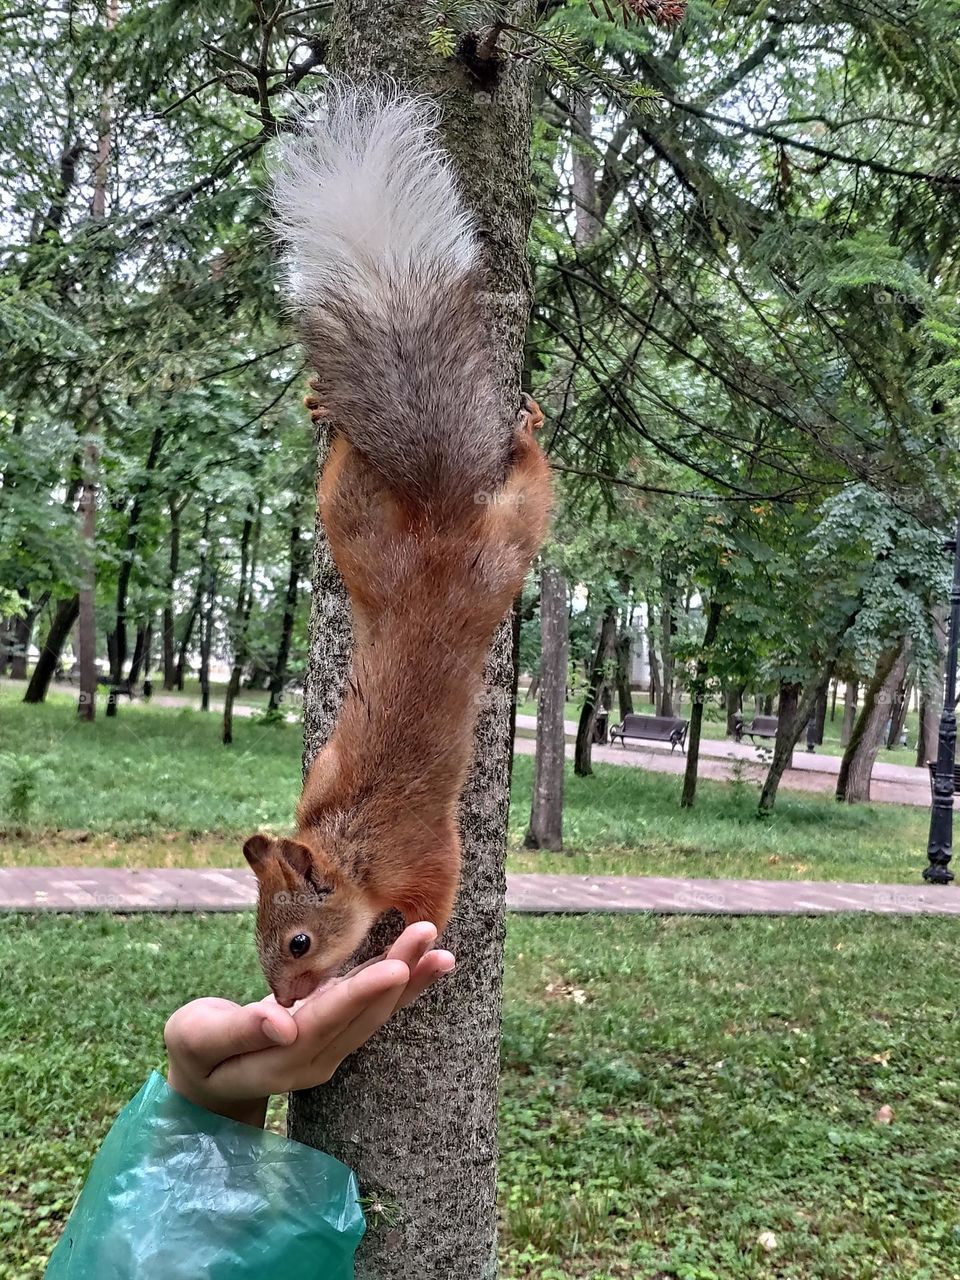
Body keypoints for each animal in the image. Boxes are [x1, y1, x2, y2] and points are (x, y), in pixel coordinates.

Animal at [242, 83, 553, 1007]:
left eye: (300, 941)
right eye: (255, 935)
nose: (284, 1001)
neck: (349, 840)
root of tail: (437, 521)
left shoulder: (424, 855)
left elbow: (435, 904)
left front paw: (403, 956)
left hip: (501, 552)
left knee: (533, 493)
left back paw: (528, 437)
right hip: (360, 538)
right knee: (346, 476)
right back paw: (331, 412)